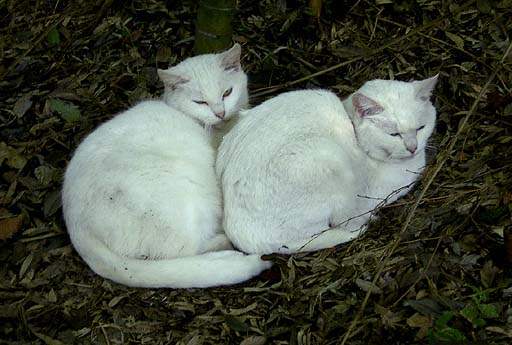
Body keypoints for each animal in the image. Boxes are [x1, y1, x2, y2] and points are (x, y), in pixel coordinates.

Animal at [62, 44, 272, 288]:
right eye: (200, 102)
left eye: (227, 92)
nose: (220, 113)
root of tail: (79, 230)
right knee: (187, 249)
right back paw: (224, 246)